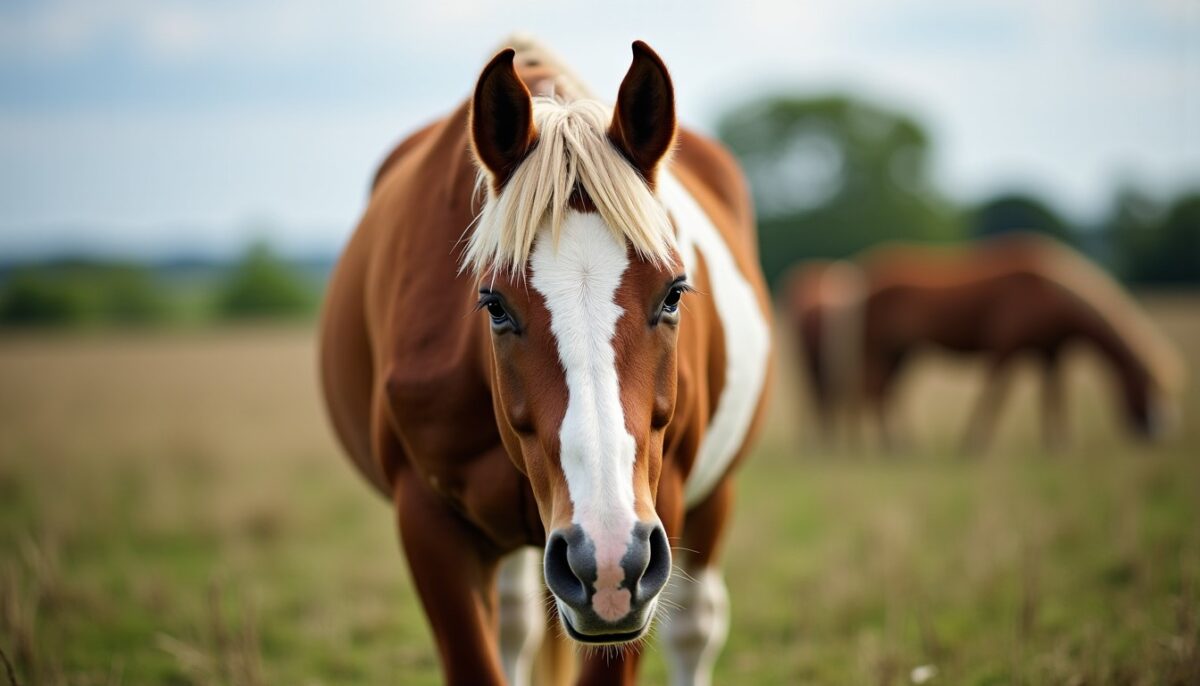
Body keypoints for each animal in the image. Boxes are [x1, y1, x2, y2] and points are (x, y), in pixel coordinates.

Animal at [319, 37, 772, 685]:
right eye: (494, 305)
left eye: (674, 293)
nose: (606, 560)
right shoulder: (428, 522)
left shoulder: (659, 516)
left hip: (709, 503)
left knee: (695, 629)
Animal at [783, 234, 1184, 453]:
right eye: (1147, 386)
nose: (1159, 434)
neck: (1049, 291)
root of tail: (860, 272)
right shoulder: (1006, 347)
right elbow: (994, 395)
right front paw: (972, 444)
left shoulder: (1050, 353)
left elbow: (1053, 399)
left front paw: (1058, 444)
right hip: (877, 351)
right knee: (872, 394)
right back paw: (894, 446)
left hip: (898, 354)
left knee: (877, 395)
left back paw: (898, 445)